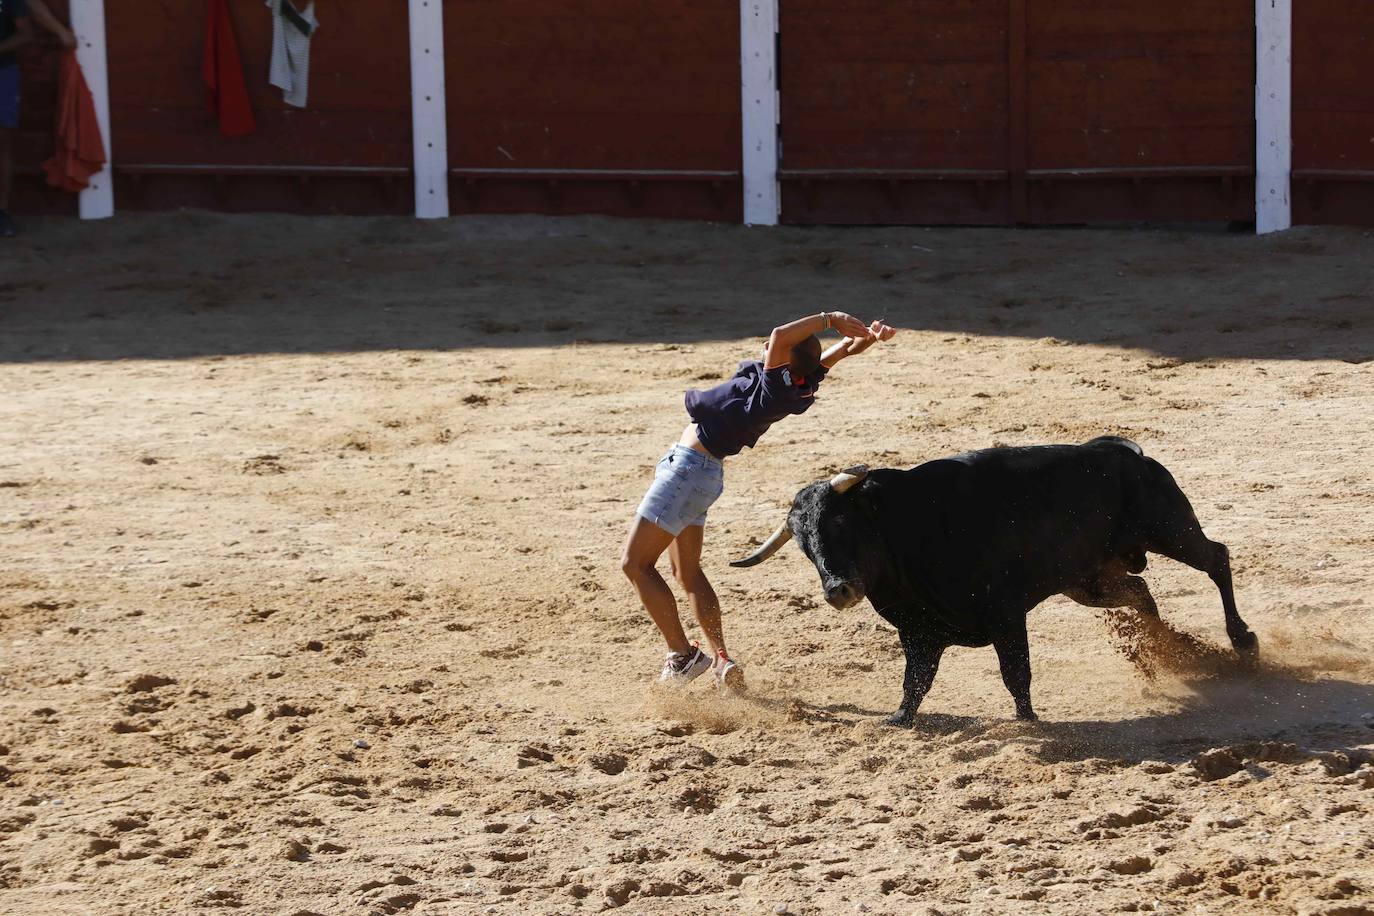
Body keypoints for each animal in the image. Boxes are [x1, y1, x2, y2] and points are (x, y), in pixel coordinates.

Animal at [736, 439, 1258, 730]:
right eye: (804, 546)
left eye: (842, 524)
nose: (838, 592)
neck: (906, 529)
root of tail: (1126, 452)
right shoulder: (919, 631)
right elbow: (915, 681)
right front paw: (899, 720)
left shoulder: (1006, 614)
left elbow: (1015, 673)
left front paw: (1028, 720)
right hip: (1090, 581)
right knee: (1141, 595)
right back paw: (1160, 660)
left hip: (1169, 527)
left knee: (1216, 559)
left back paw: (1243, 642)